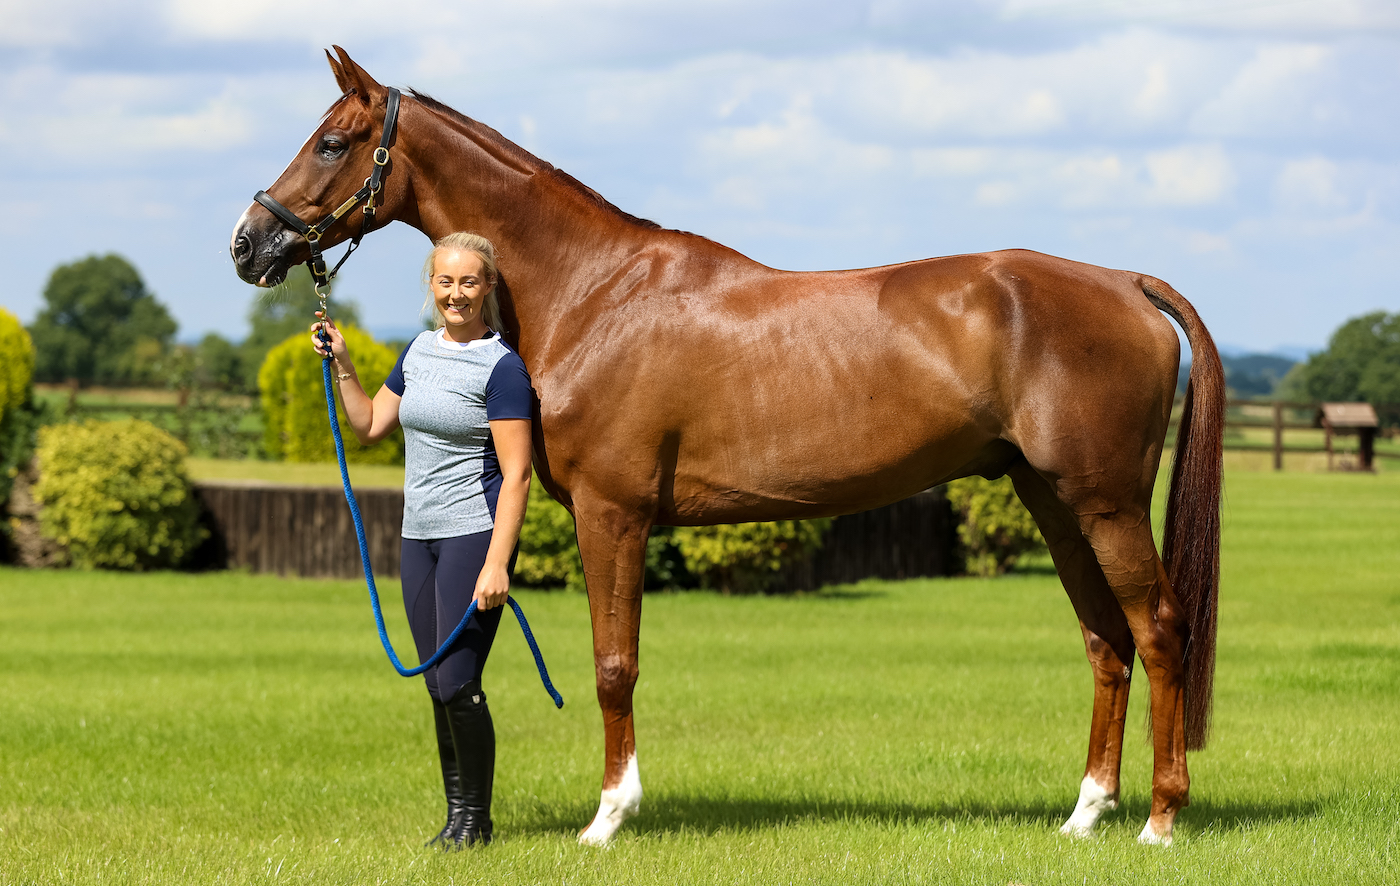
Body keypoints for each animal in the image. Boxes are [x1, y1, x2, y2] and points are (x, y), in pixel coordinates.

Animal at [230, 47, 1224, 847]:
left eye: (332, 142)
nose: (250, 243)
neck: (594, 292)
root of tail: (1125, 282)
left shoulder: (613, 516)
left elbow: (614, 665)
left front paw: (608, 818)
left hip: (1102, 504)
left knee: (1158, 630)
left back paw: (1160, 820)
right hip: (1052, 500)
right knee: (1105, 640)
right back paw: (1086, 813)